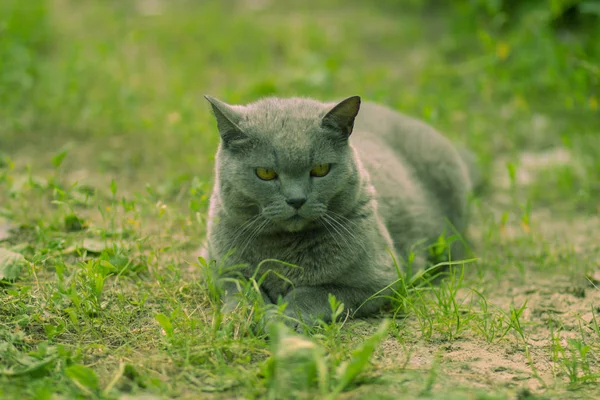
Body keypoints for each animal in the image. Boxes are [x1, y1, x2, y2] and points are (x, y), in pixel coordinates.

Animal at [204, 96, 476, 328]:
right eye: (266, 173)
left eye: (321, 169)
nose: (296, 200)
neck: (282, 251)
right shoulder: (216, 265)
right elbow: (240, 287)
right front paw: (246, 316)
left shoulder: (380, 281)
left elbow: (314, 292)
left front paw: (281, 317)